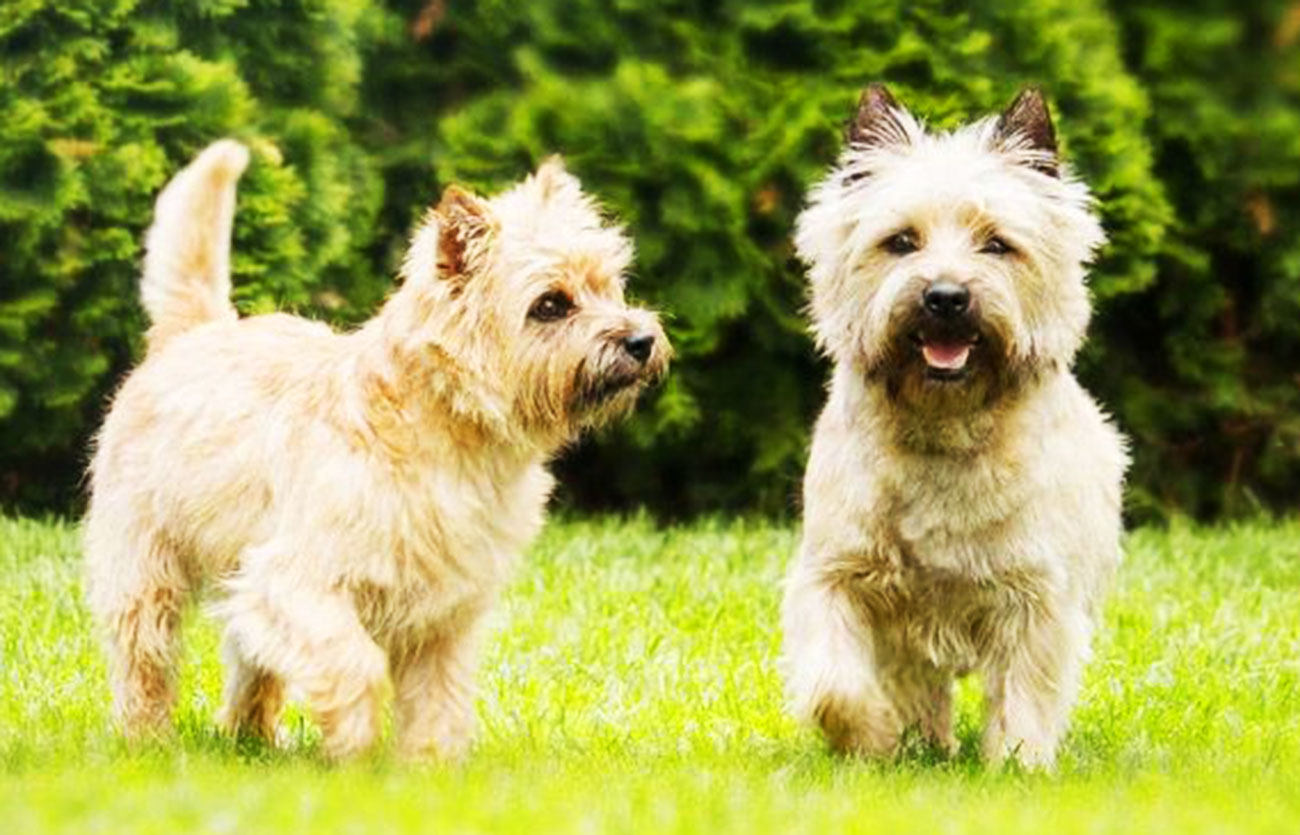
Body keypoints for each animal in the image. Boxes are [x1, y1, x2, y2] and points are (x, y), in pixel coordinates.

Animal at [85, 139, 670, 759]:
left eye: (610, 286)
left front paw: (430, 768)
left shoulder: (445, 614)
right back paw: (146, 740)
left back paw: (254, 741)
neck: (445, 433)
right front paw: (356, 747)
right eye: (551, 304)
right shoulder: (294, 581)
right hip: (146, 567)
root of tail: (193, 332)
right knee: (144, 658)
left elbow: (440, 698)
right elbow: (354, 663)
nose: (641, 340)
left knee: (251, 662)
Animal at [780, 87, 1128, 764]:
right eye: (900, 241)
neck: (945, 422)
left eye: (996, 244)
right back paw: (922, 743)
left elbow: (1024, 690)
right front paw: (873, 735)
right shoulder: (837, 574)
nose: (945, 297)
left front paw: (1017, 765)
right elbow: (835, 683)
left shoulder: (1036, 595)